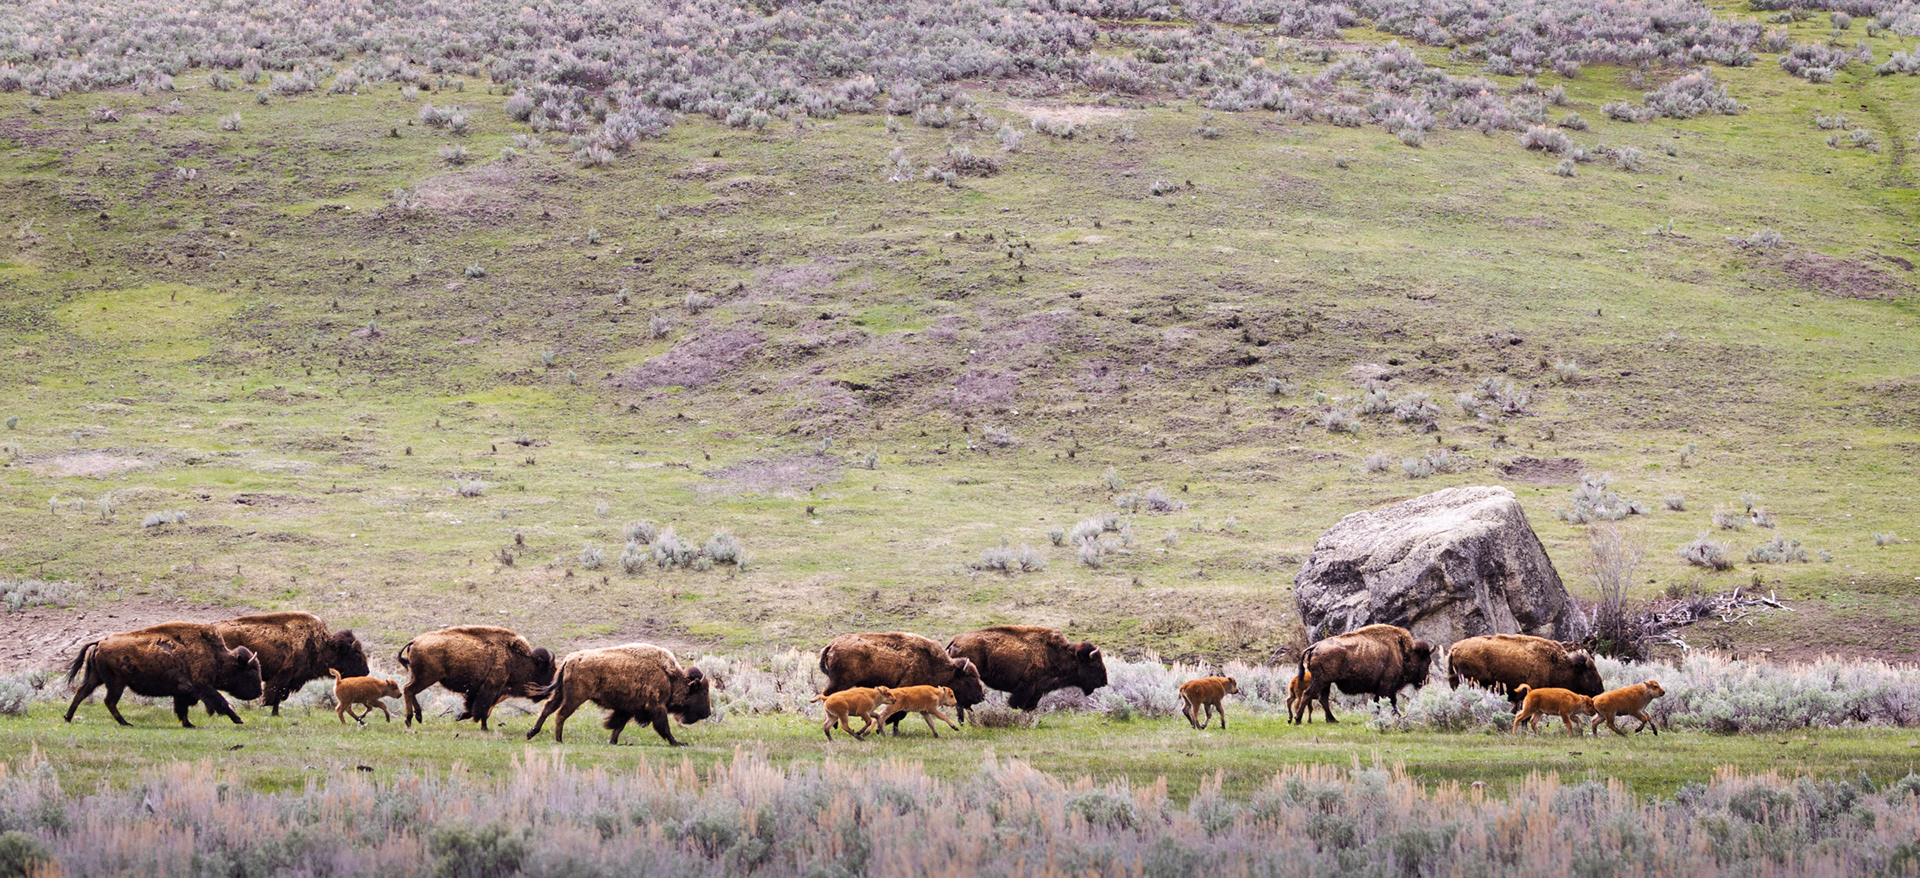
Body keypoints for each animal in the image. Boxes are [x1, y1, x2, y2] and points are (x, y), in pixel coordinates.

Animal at [64, 622, 263, 728]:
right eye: (252, 671)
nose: (259, 692)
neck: (215, 655)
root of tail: (100, 642)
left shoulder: (182, 692)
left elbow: (182, 709)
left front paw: (188, 724)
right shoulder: (203, 687)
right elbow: (221, 702)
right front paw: (238, 720)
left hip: (95, 678)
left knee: (81, 693)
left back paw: (68, 718)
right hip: (116, 683)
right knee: (109, 701)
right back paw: (125, 722)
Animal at [214, 611, 369, 715]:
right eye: (356, 653)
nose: (366, 671)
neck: (319, 643)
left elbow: (280, 696)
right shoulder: (283, 677)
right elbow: (276, 695)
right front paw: (273, 712)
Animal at [397, 625, 555, 730]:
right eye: (548, 670)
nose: (549, 690)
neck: (515, 657)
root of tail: (415, 641)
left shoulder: (479, 691)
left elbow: (473, 709)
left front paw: (459, 716)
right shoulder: (490, 689)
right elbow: (482, 710)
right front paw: (484, 728)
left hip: (419, 677)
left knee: (409, 690)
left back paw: (418, 717)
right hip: (426, 678)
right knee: (408, 690)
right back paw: (409, 719)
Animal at [946, 625, 1107, 719]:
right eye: (1094, 663)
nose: (1104, 681)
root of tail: (955, 640)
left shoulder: (1037, 691)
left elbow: (1029, 707)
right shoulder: (1026, 689)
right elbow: (1017, 705)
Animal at [1292, 623, 1435, 724]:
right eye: (1427, 660)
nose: (1425, 681)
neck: (1404, 653)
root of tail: (1315, 646)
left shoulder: (1390, 688)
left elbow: (1391, 702)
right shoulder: (1386, 685)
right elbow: (1383, 701)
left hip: (1325, 682)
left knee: (1323, 698)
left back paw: (1332, 720)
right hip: (1321, 681)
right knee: (1308, 694)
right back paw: (1298, 720)